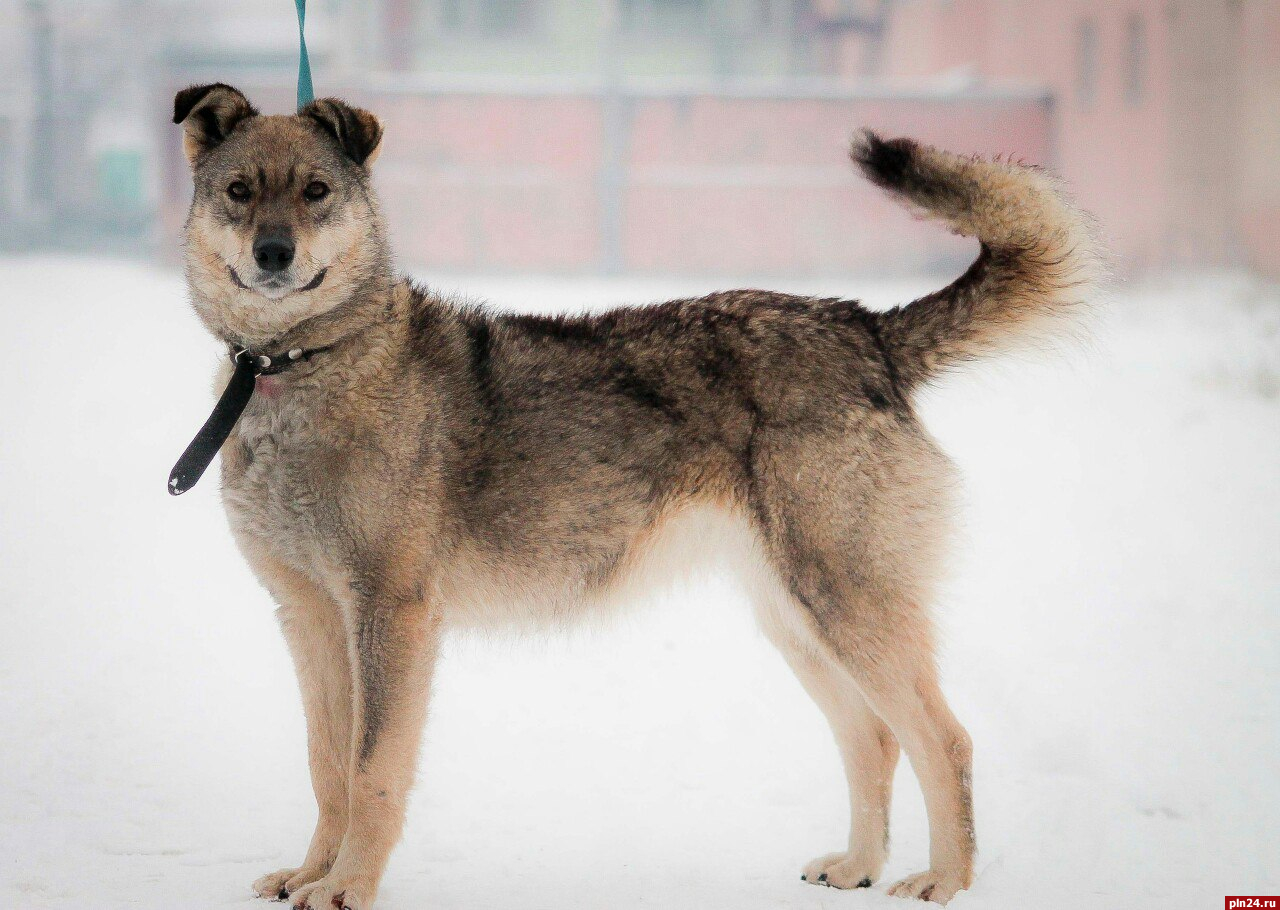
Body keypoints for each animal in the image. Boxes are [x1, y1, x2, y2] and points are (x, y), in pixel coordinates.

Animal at [172, 81, 1100, 906]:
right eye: (240, 191)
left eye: (316, 192)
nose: (274, 254)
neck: (295, 371)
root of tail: (865, 327)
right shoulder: (309, 618)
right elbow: (326, 766)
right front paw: (308, 875)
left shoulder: (389, 617)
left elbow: (371, 772)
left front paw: (346, 890)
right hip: (798, 624)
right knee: (874, 738)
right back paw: (858, 868)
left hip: (846, 607)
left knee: (945, 739)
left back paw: (945, 881)